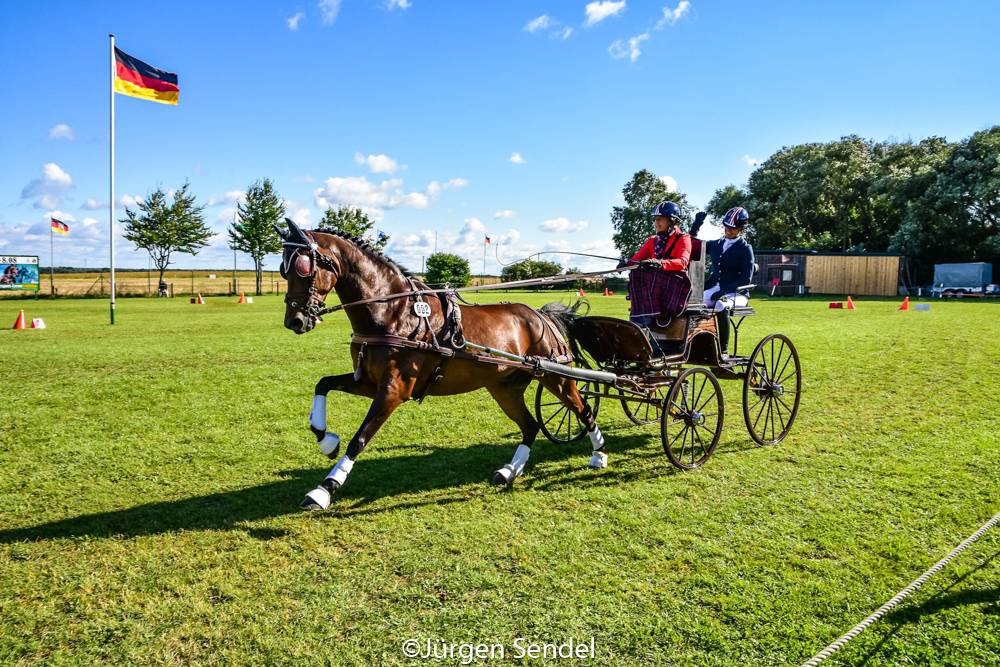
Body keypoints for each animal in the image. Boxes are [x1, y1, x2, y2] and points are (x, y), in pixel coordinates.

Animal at [276, 220, 608, 512]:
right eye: (283, 269)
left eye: (303, 267)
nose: (295, 321)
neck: (393, 311)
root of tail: (540, 315)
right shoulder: (368, 381)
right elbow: (323, 383)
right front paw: (326, 440)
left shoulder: (394, 390)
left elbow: (359, 438)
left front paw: (324, 489)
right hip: (504, 387)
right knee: (530, 425)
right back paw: (509, 471)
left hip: (556, 378)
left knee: (583, 410)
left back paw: (599, 454)